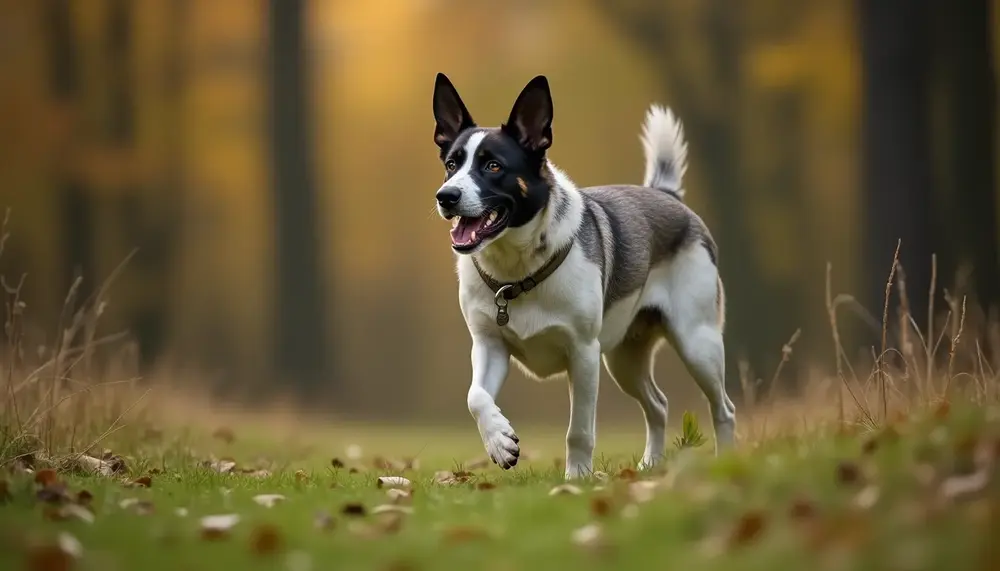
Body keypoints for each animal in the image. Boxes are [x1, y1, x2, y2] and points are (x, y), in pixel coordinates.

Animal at [434, 73, 740, 480]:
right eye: (452, 164)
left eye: (494, 166)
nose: (445, 195)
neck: (517, 271)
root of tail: (667, 196)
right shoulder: (489, 346)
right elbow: (476, 397)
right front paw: (500, 441)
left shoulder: (583, 354)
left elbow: (578, 429)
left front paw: (576, 478)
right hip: (624, 358)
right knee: (658, 404)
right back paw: (650, 464)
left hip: (697, 342)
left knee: (724, 409)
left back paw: (727, 462)